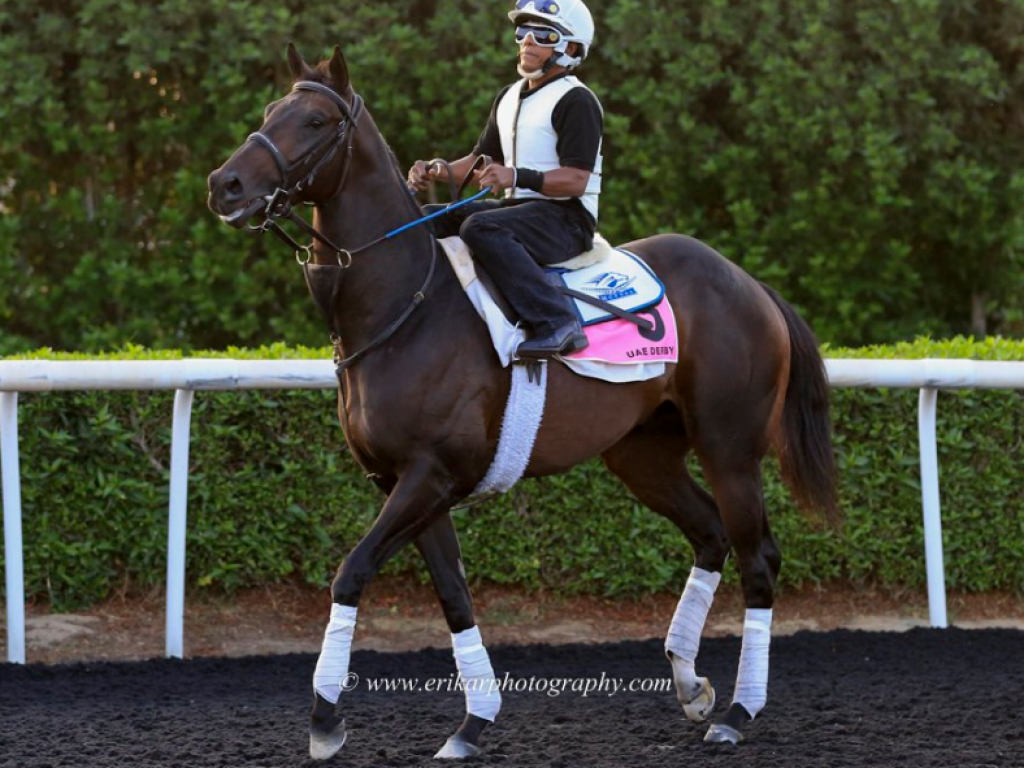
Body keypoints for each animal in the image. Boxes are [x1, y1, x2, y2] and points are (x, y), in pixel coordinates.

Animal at [207, 48, 839, 765]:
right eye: (270, 111)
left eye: (314, 120)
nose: (226, 184)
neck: (404, 303)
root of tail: (749, 284)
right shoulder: (403, 482)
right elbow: (453, 596)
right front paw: (472, 723)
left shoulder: (433, 474)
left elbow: (351, 572)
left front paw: (325, 717)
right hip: (643, 454)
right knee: (709, 533)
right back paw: (688, 681)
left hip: (730, 448)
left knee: (758, 557)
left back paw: (737, 710)